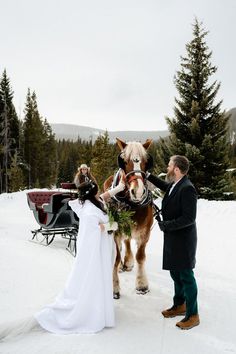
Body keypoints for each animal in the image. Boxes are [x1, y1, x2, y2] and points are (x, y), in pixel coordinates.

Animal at [103, 137, 153, 298]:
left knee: (127, 241)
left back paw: (129, 262)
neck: (132, 204)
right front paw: (114, 287)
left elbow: (140, 256)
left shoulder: (145, 232)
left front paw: (142, 284)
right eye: (123, 161)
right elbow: (116, 257)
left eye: (146, 161)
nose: (137, 191)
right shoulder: (115, 231)